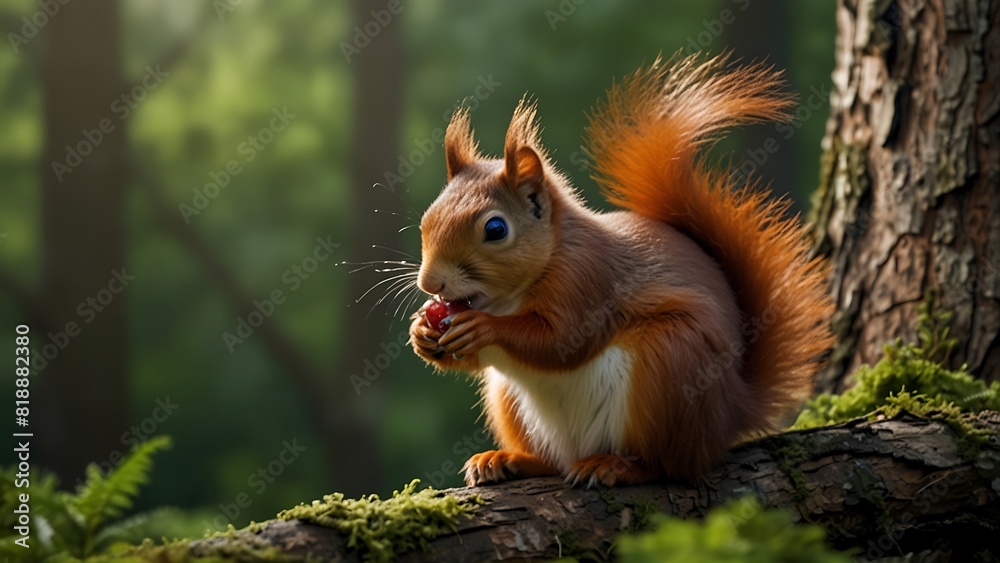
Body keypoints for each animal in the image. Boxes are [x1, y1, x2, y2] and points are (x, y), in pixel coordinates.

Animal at [408, 52, 833, 488]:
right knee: (552, 461)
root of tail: (730, 415)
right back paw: (509, 459)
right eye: (427, 218)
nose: (430, 282)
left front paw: (483, 328)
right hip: (509, 398)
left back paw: (616, 466)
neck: (513, 295)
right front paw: (422, 332)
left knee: (668, 465)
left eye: (495, 229)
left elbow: (562, 342)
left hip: (670, 364)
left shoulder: (588, 279)